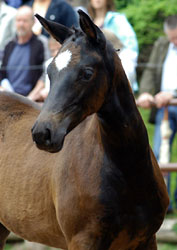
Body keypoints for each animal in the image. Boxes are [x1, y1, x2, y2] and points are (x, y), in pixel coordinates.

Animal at [0, 10, 169, 250]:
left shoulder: (146, 240)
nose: (42, 133)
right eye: (49, 72)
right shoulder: (83, 241)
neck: (129, 172)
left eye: (87, 73)